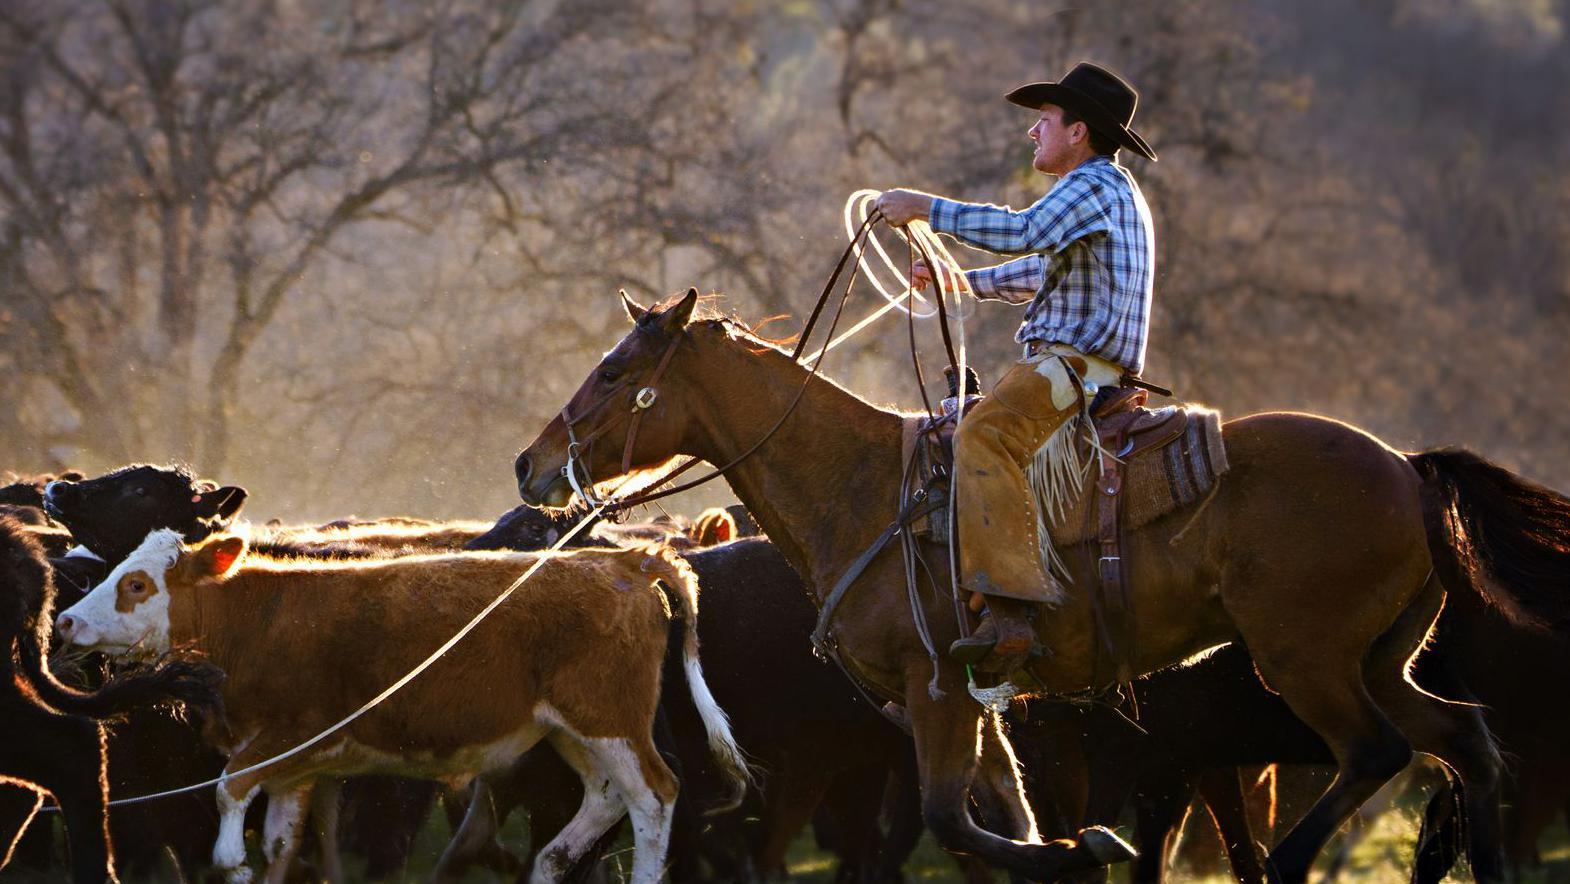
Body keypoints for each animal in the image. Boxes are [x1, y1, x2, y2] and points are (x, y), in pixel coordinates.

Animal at [55, 529, 749, 884]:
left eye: (136, 584)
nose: (65, 621)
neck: (262, 619)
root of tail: (623, 559)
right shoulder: (295, 771)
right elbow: (278, 847)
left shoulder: (291, 738)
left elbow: (228, 802)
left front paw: (233, 859)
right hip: (571, 729)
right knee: (606, 797)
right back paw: (550, 864)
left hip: (610, 719)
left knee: (653, 797)